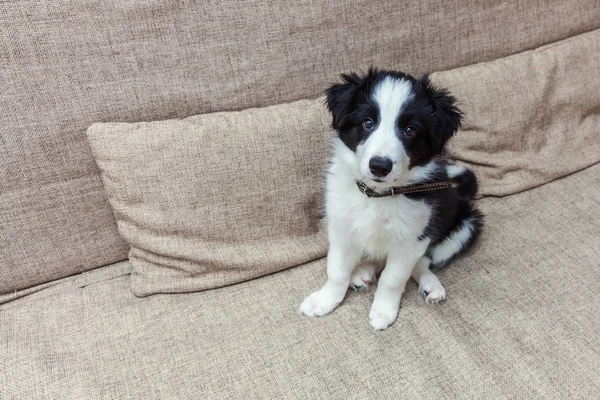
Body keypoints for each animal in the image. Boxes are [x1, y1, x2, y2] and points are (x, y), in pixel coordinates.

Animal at [300, 69, 482, 332]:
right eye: (368, 123)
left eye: (410, 130)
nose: (379, 166)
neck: (378, 195)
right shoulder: (342, 228)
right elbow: (337, 270)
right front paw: (325, 299)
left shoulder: (411, 239)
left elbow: (392, 278)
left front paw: (383, 311)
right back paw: (363, 273)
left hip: (466, 226)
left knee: (422, 262)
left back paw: (430, 286)